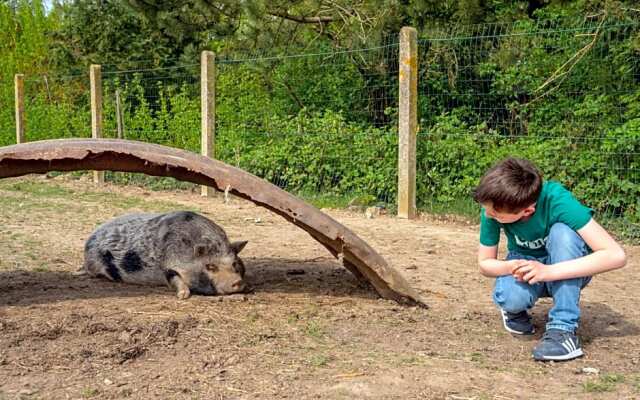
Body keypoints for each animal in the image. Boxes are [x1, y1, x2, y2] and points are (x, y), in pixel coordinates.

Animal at [82, 211, 248, 298]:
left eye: (234, 263)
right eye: (210, 266)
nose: (237, 281)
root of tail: (89, 239)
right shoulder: (167, 266)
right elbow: (175, 279)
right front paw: (183, 296)